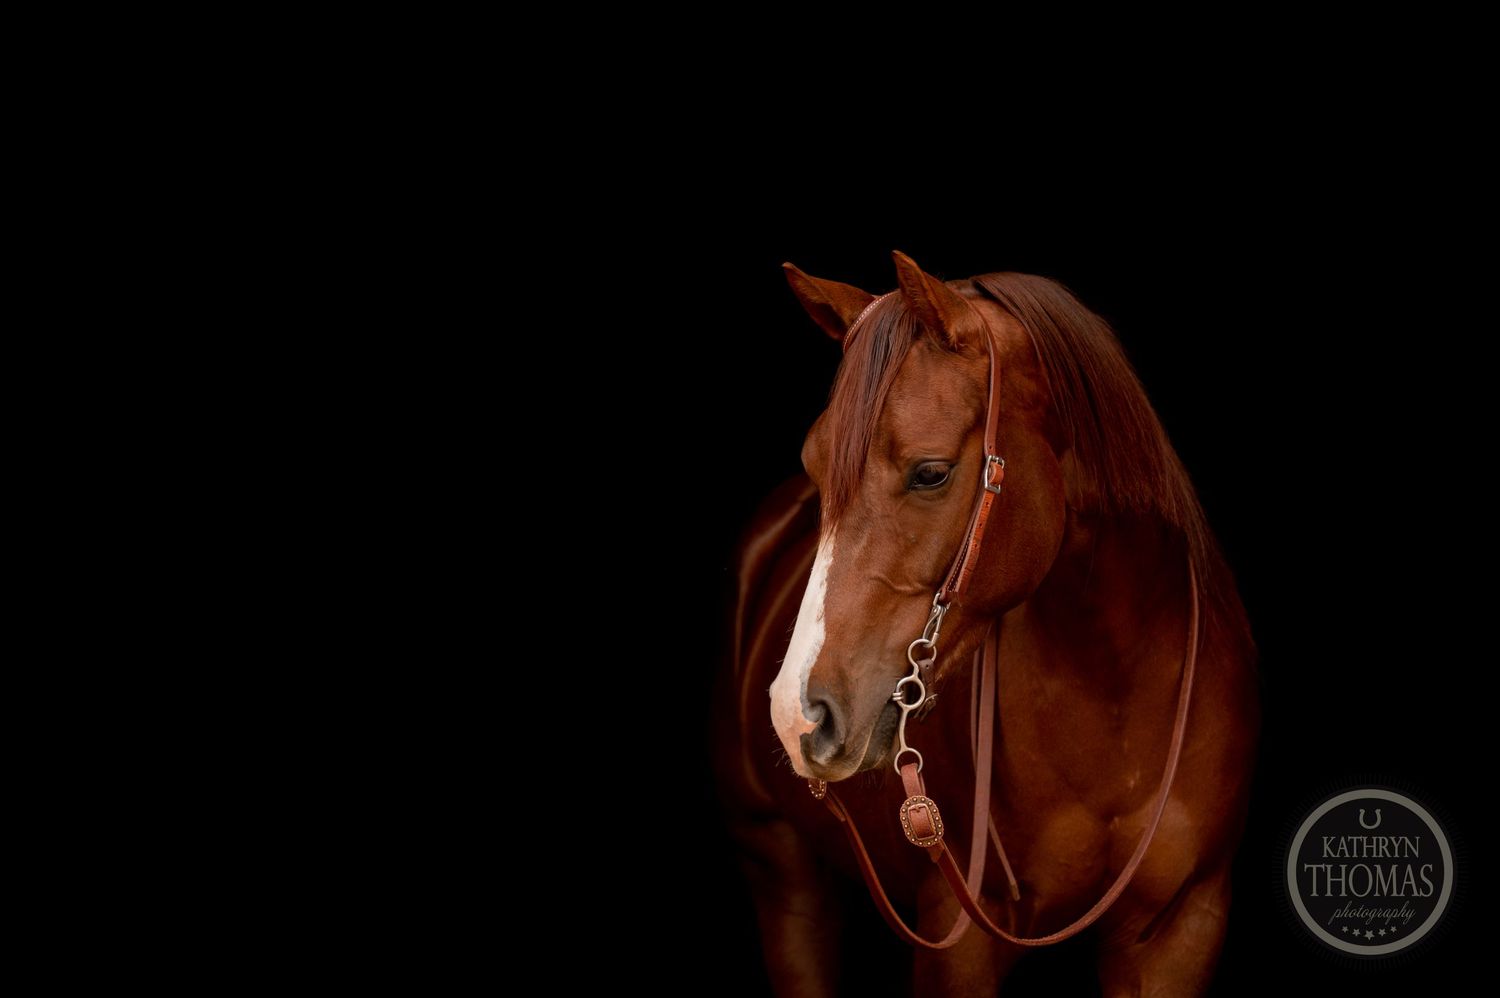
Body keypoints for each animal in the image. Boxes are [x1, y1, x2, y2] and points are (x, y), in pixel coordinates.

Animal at [714, 252, 1258, 996]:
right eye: (813, 467)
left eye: (931, 473)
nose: (796, 715)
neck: (1114, 694)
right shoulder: (957, 935)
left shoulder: (1181, 929)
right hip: (784, 878)